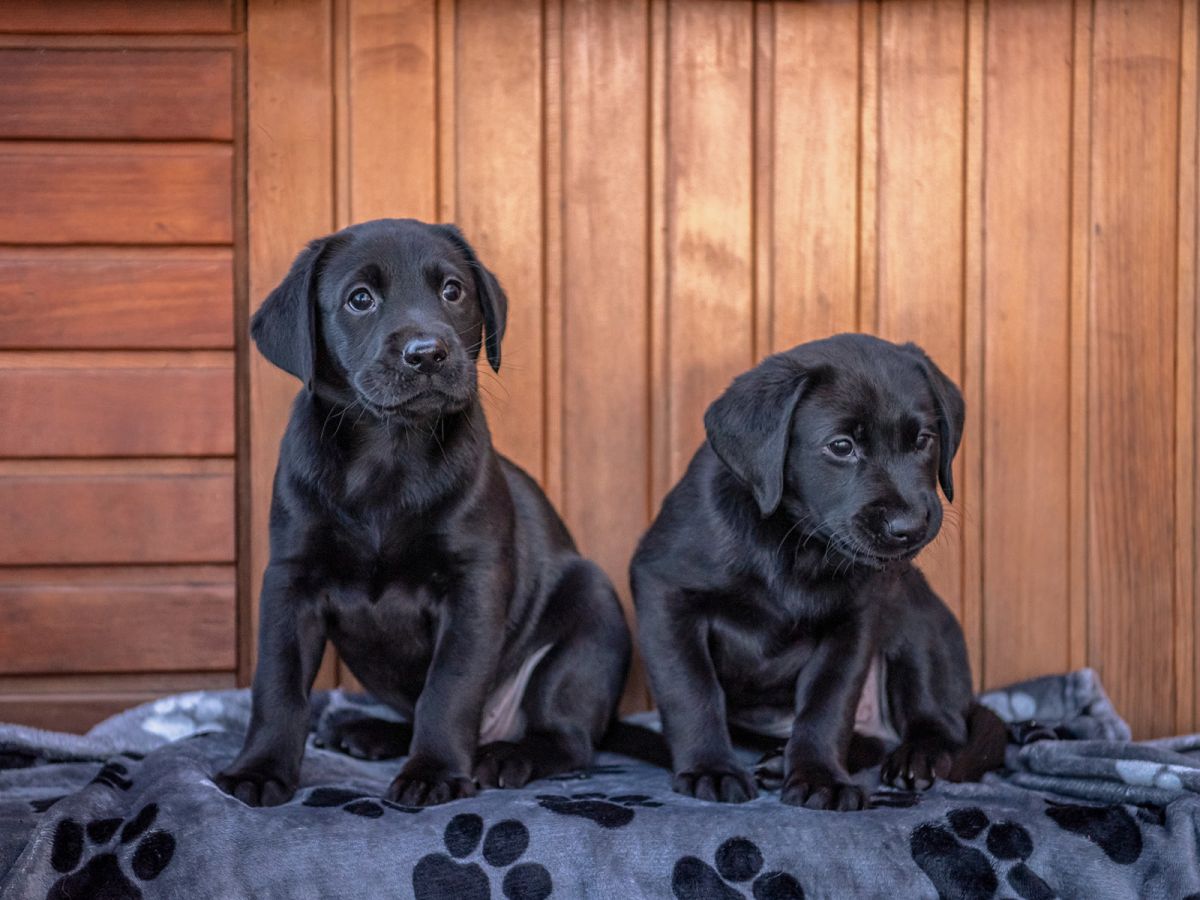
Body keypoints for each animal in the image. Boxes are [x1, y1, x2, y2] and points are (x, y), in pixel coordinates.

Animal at [217, 218, 633, 811]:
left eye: (453, 291)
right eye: (360, 299)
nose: (428, 353)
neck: (388, 454)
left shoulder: (472, 585)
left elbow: (449, 687)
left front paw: (434, 771)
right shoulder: (290, 581)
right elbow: (278, 685)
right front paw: (259, 768)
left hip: (592, 613)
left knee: (568, 737)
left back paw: (506, 755)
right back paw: (367, 732)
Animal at [628, 336, 1003, 816]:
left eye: (923, 439)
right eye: (841, 446)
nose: (910, 527)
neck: (798, 546)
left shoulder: (853, 623)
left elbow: (827, 705)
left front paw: (819, 778)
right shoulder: (665, 590)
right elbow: (691, 689)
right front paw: (710, 769)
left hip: (916, 616)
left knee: (941, 724)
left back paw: (916, 755)